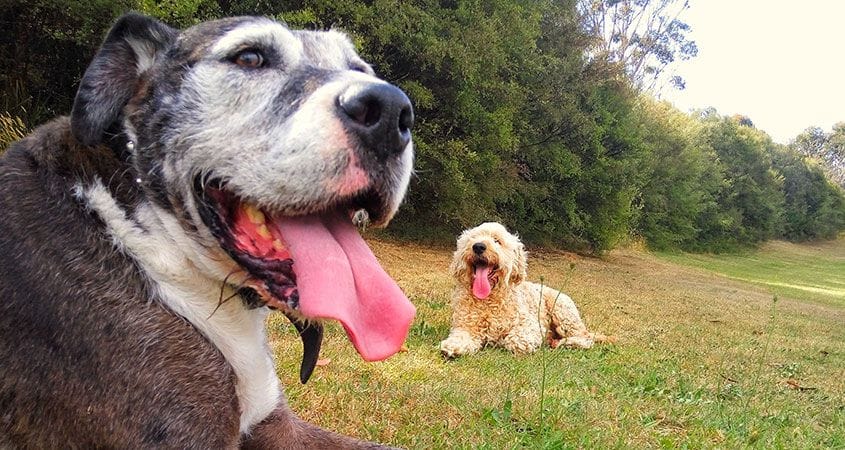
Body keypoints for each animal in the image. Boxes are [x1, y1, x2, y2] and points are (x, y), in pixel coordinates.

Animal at [438, 223, 608, 356]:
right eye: (473, 238)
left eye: (497, 241)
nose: (478, 246)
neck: (490, 297)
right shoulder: (465, 326)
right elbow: (461, 337)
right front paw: (453, 346)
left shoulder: (530, 325)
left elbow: (516, 340)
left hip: (562, 311)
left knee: (585, 338)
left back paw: (565, 343)